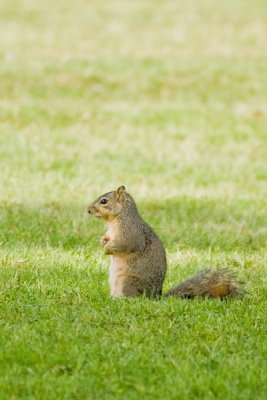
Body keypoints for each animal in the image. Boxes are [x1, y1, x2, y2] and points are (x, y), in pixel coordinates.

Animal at [88, 186, 245, 298]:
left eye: (104, 201)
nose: (88, 210)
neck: (116, 219)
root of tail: (155, 297)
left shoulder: (130, 232)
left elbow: (124, 245)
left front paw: (106, 249)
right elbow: (108, 238)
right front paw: (103, 240)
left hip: (128, 282)